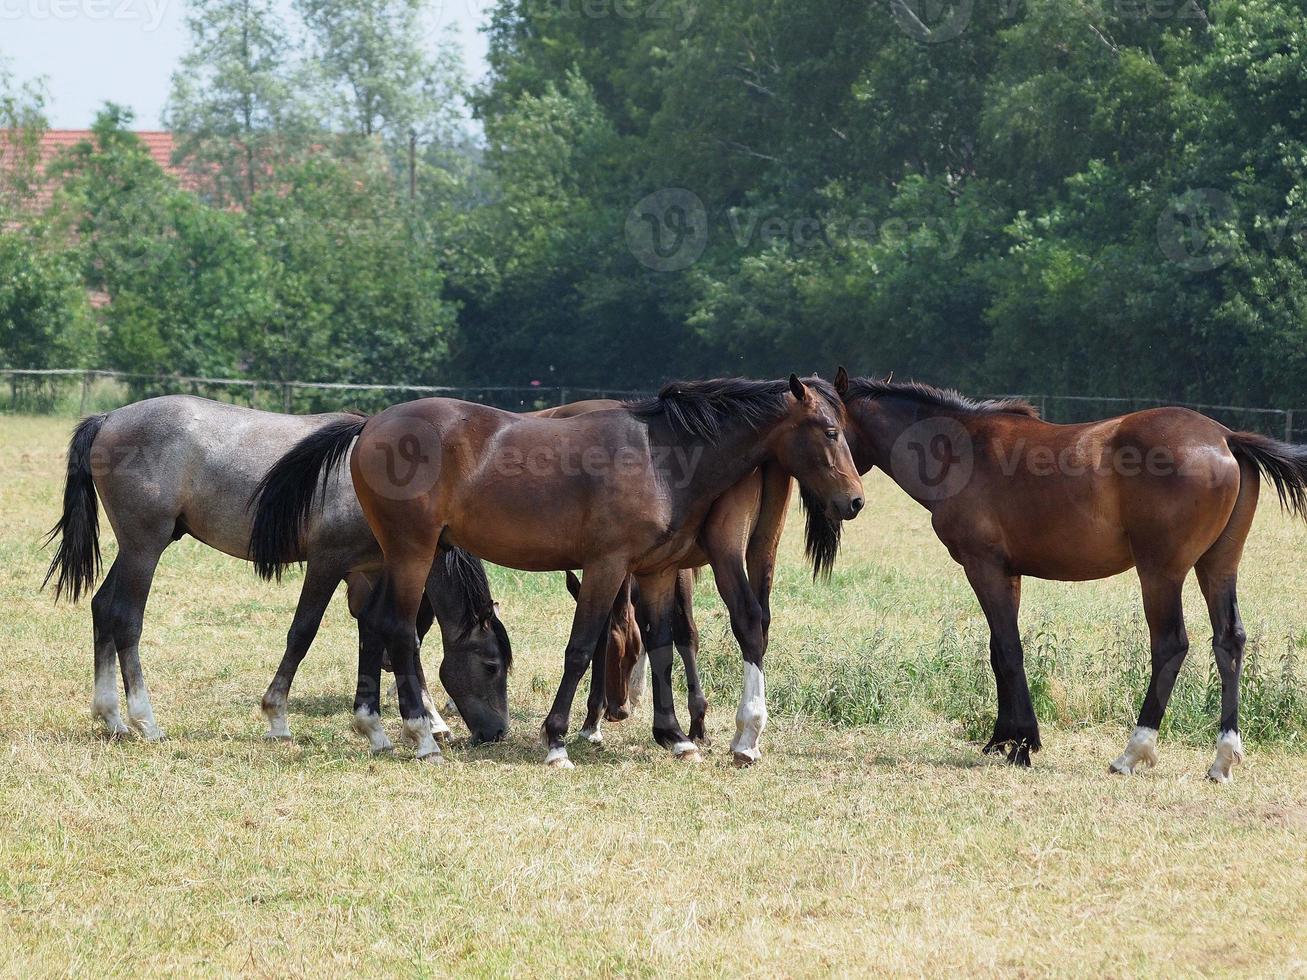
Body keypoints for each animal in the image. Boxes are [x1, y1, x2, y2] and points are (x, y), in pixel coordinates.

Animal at [42, 394, 509, 757]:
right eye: (491, 665)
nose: (497, 732)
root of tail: (108, 419)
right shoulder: (327, 564)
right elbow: (304, 633)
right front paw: (277, 717)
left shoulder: (369, 574)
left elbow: (378, 636)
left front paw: (383, 726)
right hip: (145, 548)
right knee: (125, 619)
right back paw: (146, 721)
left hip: (135, 549)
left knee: (103, 608)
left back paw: (112, 718)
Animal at [252, 376, 867, 768]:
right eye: (829, 431)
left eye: (845, 428)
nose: (855, 500)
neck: (662, 453)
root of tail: (371, 424)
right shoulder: (606, 566)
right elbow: (582, 647)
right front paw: (557, 741)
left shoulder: (655, 571)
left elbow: (661, 645)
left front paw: (675, 736)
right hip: (412, 550)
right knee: (399, 630)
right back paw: (422, 735)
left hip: (393, 553)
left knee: (378, 626)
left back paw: (377, 730)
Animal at [831, 368, 1307, 783]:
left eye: (831, 429)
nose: (848, 502)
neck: (960, 450)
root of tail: (1226, 438)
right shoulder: (1007, 573)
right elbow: (998, 649)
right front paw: (1002, 738)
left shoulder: (983, 566)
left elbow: (1009, 650)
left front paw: (1023, 744)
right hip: (1218, 566)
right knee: (1229, 641)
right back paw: (1223, 758)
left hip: (1161, 572)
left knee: (1170, 645)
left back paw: (1133, 752)